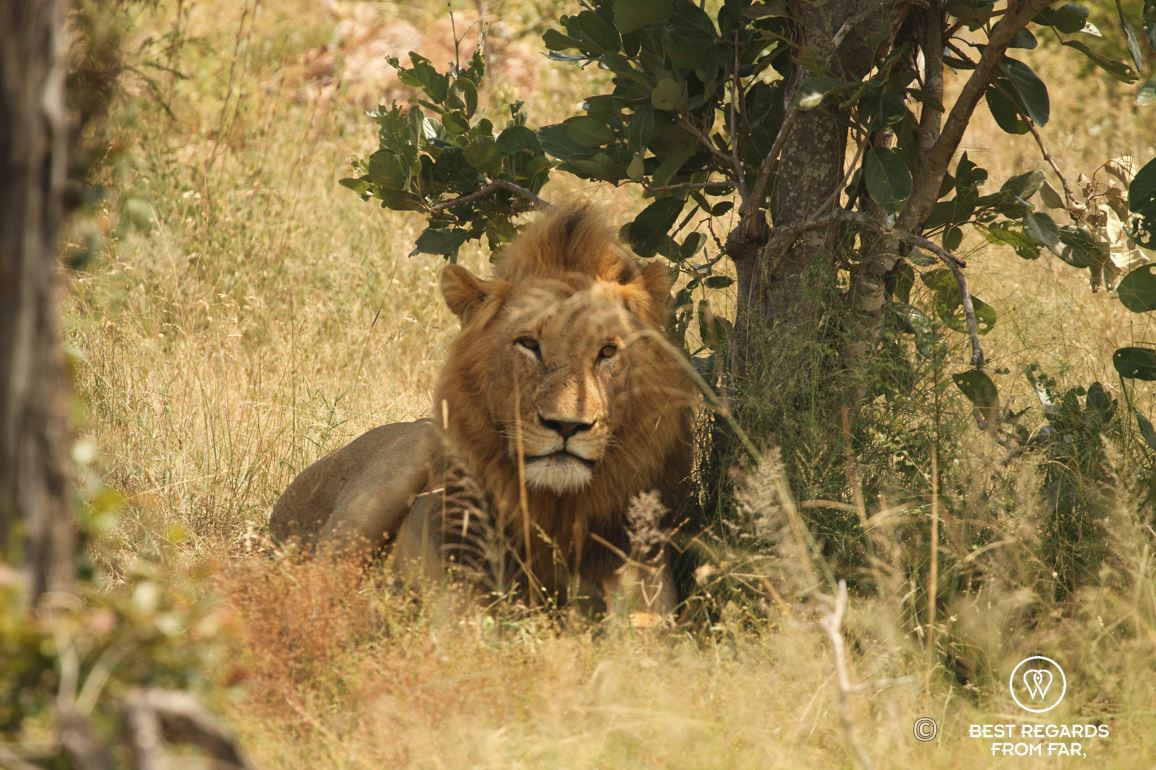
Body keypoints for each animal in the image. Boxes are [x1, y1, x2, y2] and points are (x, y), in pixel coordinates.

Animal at [269, 203, 697, 615]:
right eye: (529, 344)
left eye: (607, 352)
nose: (566, 426)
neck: (555, 506)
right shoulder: (461, 585)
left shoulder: (641, 565)